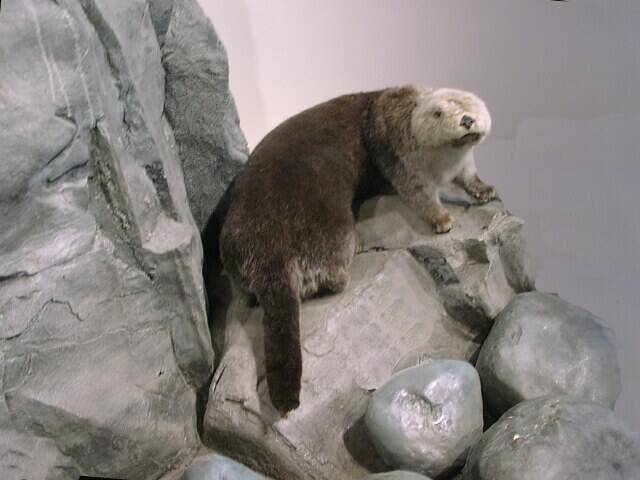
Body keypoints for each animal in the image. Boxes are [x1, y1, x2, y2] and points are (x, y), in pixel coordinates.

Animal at [219, 85, 497, 415]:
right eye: (439, 112)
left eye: (469, 104)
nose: (466, 120)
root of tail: (269, 252)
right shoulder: (401, 159)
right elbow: (419, 194)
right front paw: (442, 220)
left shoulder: (463, 164)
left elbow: (469, 177)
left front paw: (485, 190)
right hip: (331, 234)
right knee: (331, 278)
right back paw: (356, 251)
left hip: (232, 248)